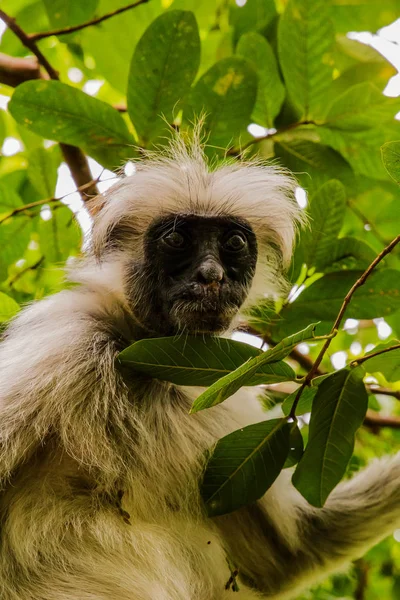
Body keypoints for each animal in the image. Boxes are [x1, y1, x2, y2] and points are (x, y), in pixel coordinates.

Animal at [0, 132, 398, 600]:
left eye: (234, 244)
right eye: (177, 241)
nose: (211, 275)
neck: (146, 365)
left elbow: (295, 551)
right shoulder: (68, 342)